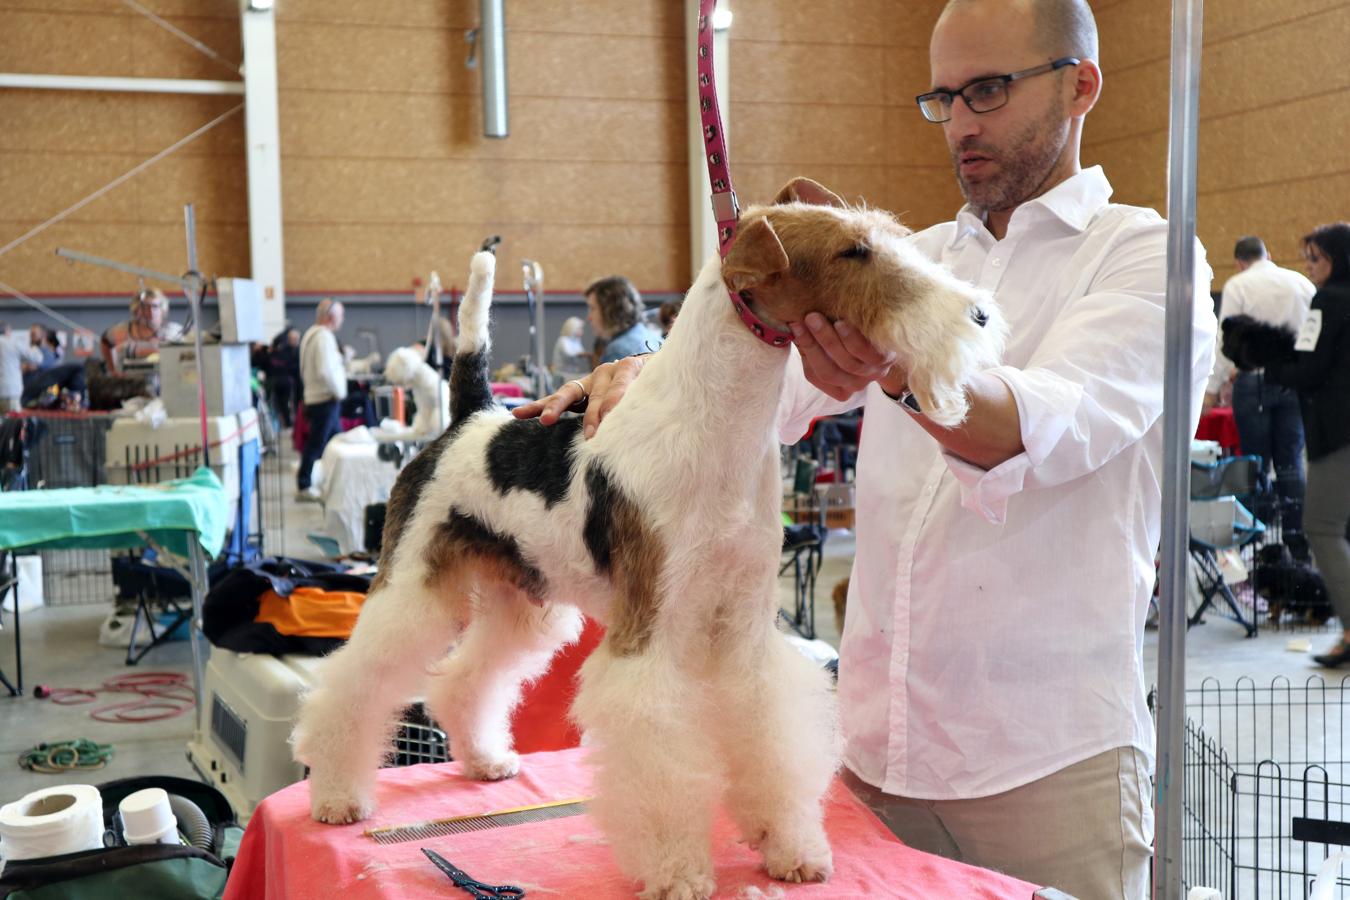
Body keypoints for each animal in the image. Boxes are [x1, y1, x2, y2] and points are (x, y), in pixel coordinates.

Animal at [298, 179, 1015, 895]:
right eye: (854, 251)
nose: (981, 316)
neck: (719, 429)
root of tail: (472, 417)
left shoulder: (745, 627)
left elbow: (769, 737)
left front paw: (792, 847)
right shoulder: (652, 634)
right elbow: (660, 757)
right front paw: (679, 871)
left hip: (523, 601)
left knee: (467, 679)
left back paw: (483, 757)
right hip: (413, 586)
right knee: (355, 680)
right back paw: (337, 795)